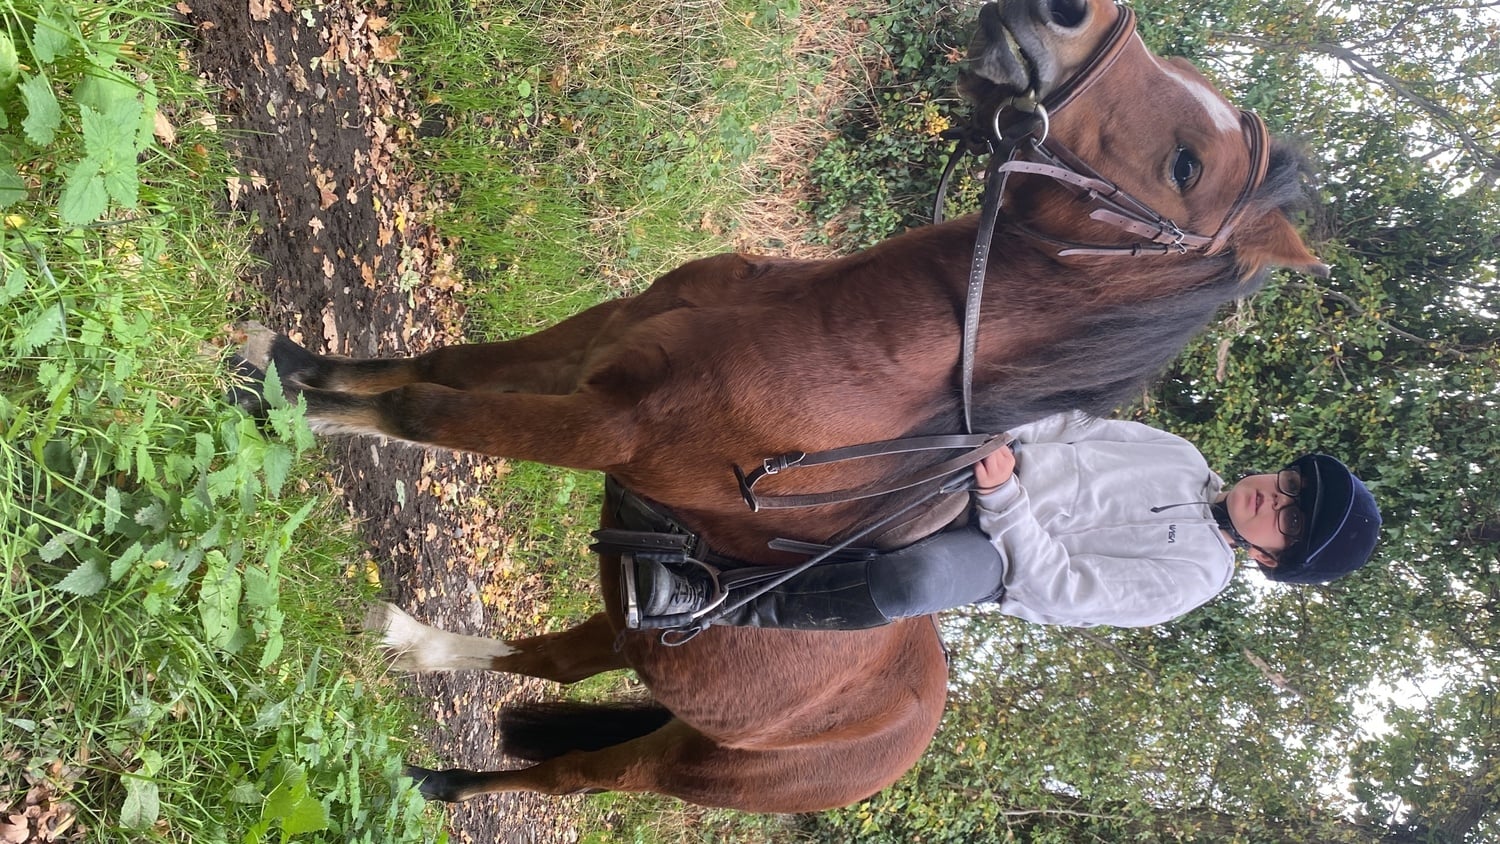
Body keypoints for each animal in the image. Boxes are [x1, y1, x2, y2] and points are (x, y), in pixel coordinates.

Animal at [235, 0, 1326, 813]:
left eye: (1186, 166)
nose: (1059, 11)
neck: (835, 346)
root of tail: (903, 738)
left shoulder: (608, 426)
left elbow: (425, 411)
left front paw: (291, 410)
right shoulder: (599, 339)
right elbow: (436, 364)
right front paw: (286, 365)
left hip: (679, 762)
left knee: (577, 772)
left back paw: (438, 782)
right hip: (642, 630)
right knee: (561, 655)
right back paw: (414, 643)